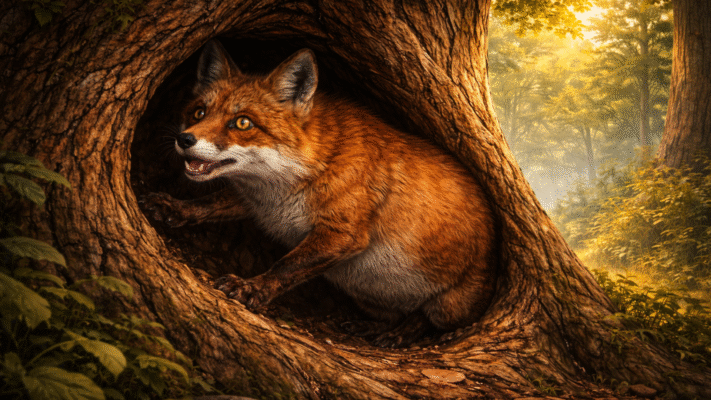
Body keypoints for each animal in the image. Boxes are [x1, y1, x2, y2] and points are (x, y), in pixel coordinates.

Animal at [142, 40, 496, 347]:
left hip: (449, 306)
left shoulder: (342, 234)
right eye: (199, 113)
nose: (185, 139)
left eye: (243, 123)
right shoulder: (257, 203)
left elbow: (287, 266)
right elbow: (208, 204)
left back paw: (400, 334)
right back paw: (374, 327)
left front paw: (253, 288)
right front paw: (174, 208)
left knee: (425, 319)